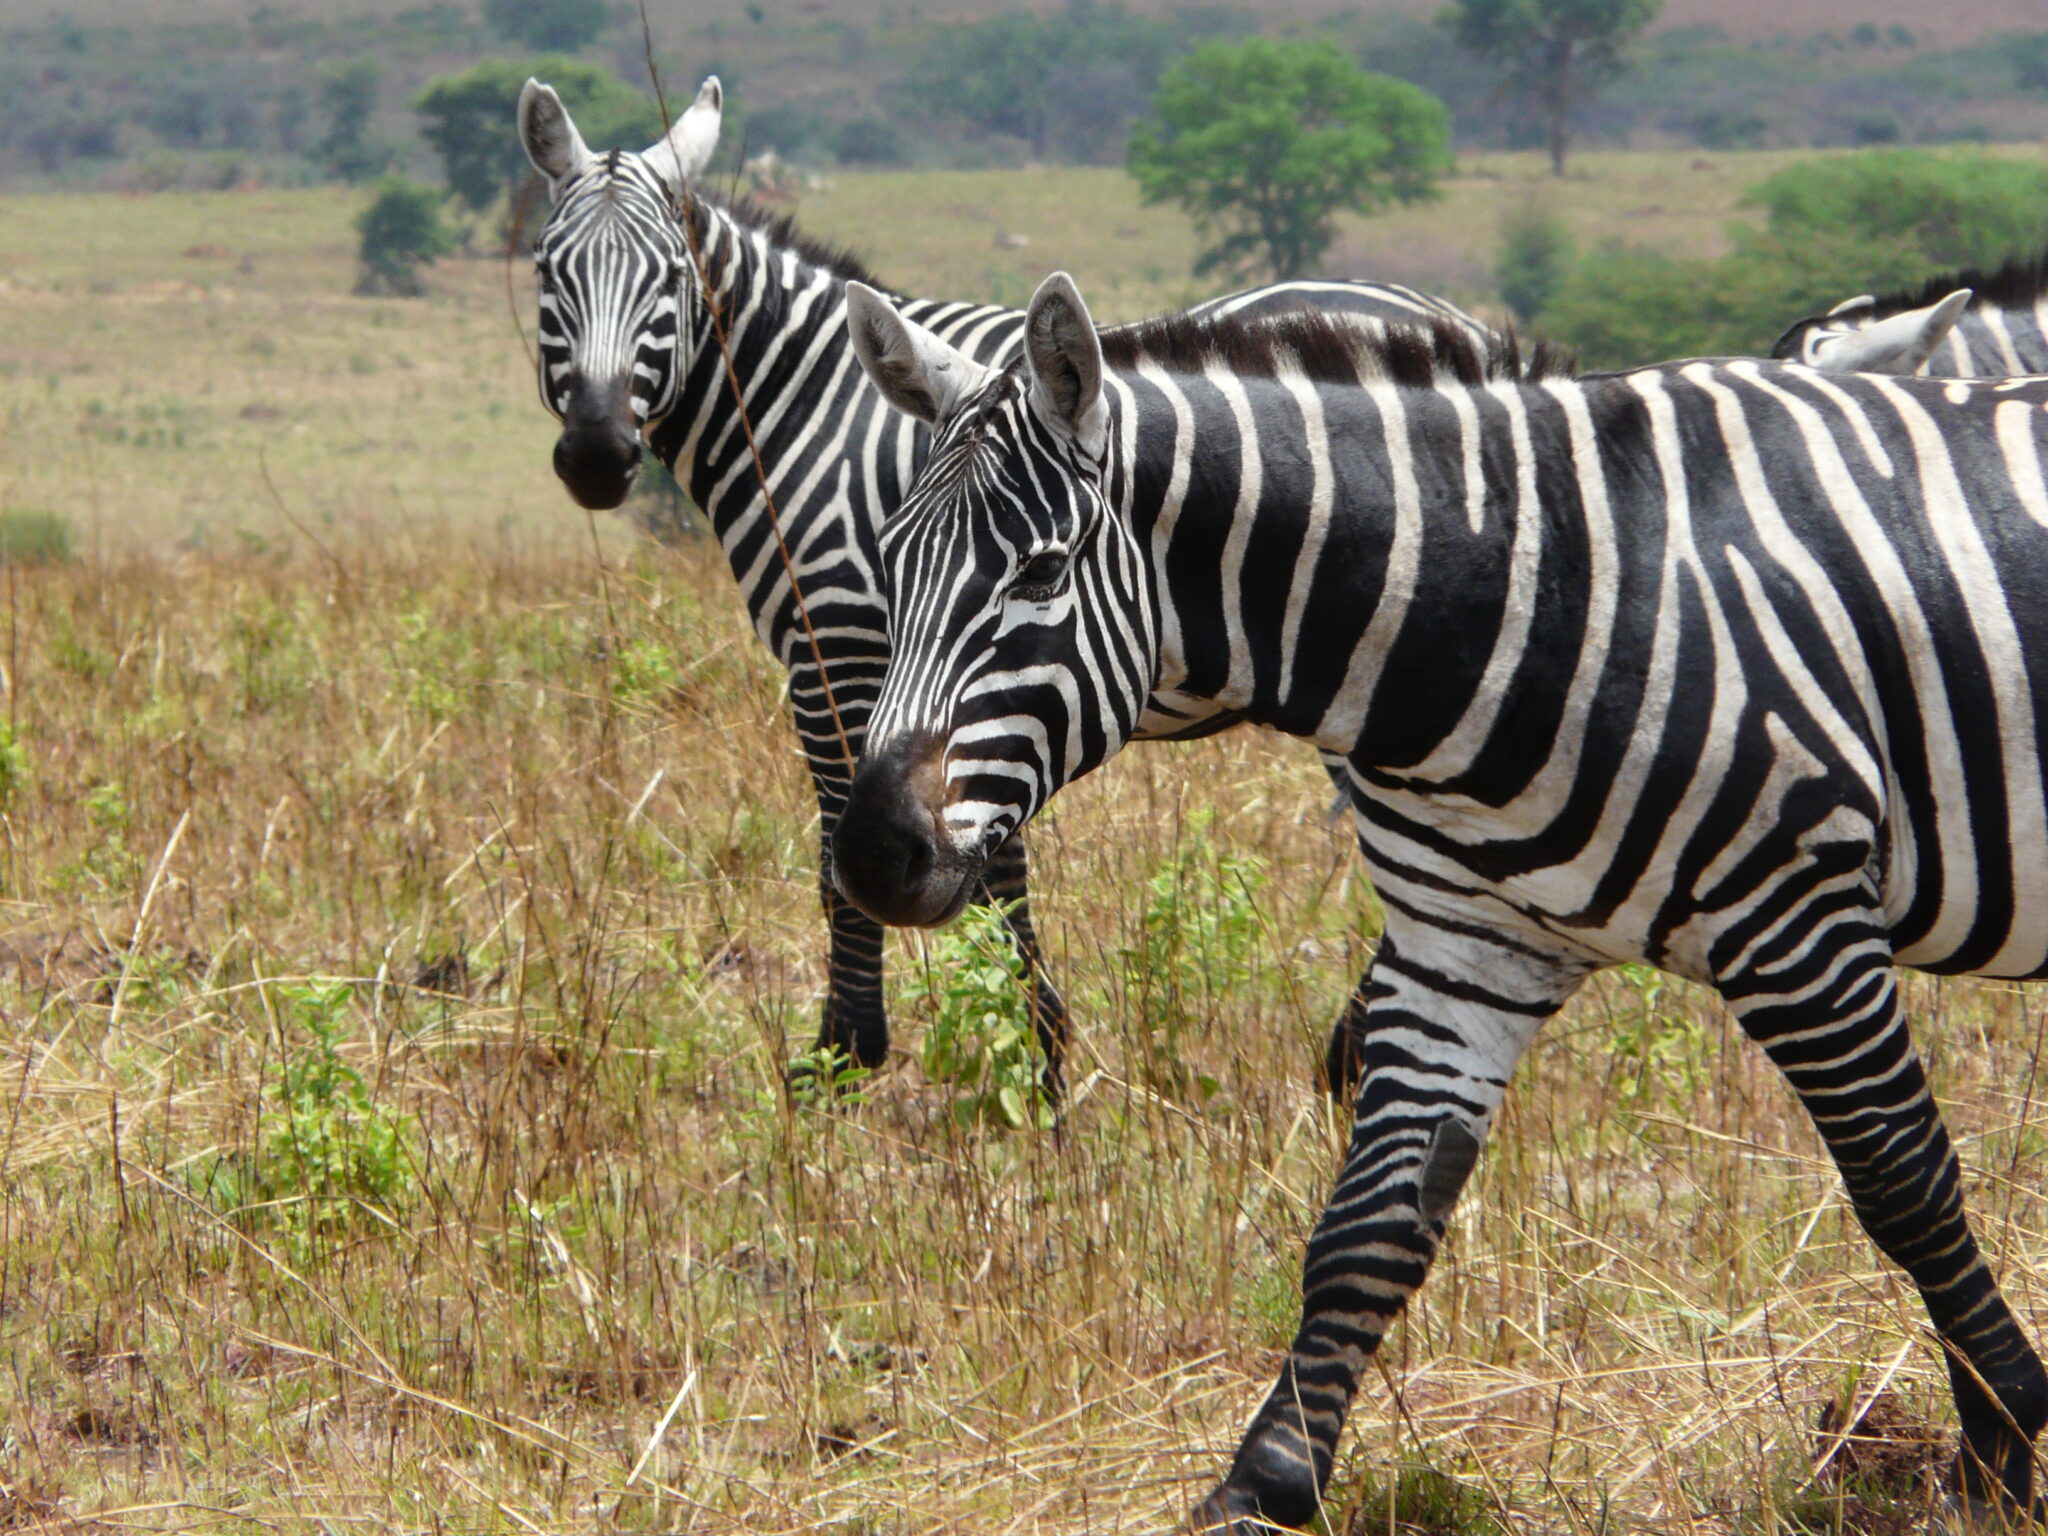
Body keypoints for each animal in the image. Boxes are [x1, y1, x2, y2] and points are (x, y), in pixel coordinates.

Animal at [512, 72, 1507, 1097]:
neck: (807, 403)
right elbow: (989, 850)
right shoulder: (959, 683)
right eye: (547, 272)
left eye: (670, 279)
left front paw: (853, 1054)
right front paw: (1034, 1044)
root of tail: (1454, 320)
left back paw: (1356, 1051)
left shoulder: (837, 651)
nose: (596, 454)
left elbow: (847, 857)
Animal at [823, 270, 2048, 1531]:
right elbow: (1367, 1226)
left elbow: (1903, 1184)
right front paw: (1262, 1484)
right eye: (891, 563)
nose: (871, 854)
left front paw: (1997, 1445)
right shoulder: (1462, 945)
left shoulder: (1795, 915)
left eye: (1041, 572)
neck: (1526, 592)